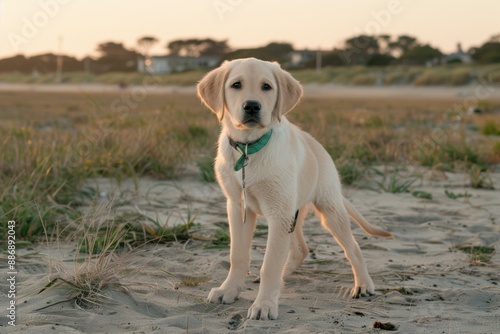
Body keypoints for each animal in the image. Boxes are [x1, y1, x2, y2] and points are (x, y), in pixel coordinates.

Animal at [197, 58, 392, 320]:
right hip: (293, 214)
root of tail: (319, 148)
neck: (249, 148)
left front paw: (265, 304)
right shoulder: (239, 207)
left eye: (267, 87)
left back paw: (363, 284)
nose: (252, 106)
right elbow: (237, 255)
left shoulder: (278, 213)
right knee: (301, 249)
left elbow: (270, 263)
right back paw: (285, 275)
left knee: (353, 247)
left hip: (328, 210)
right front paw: (228, 290)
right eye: (236, 85)